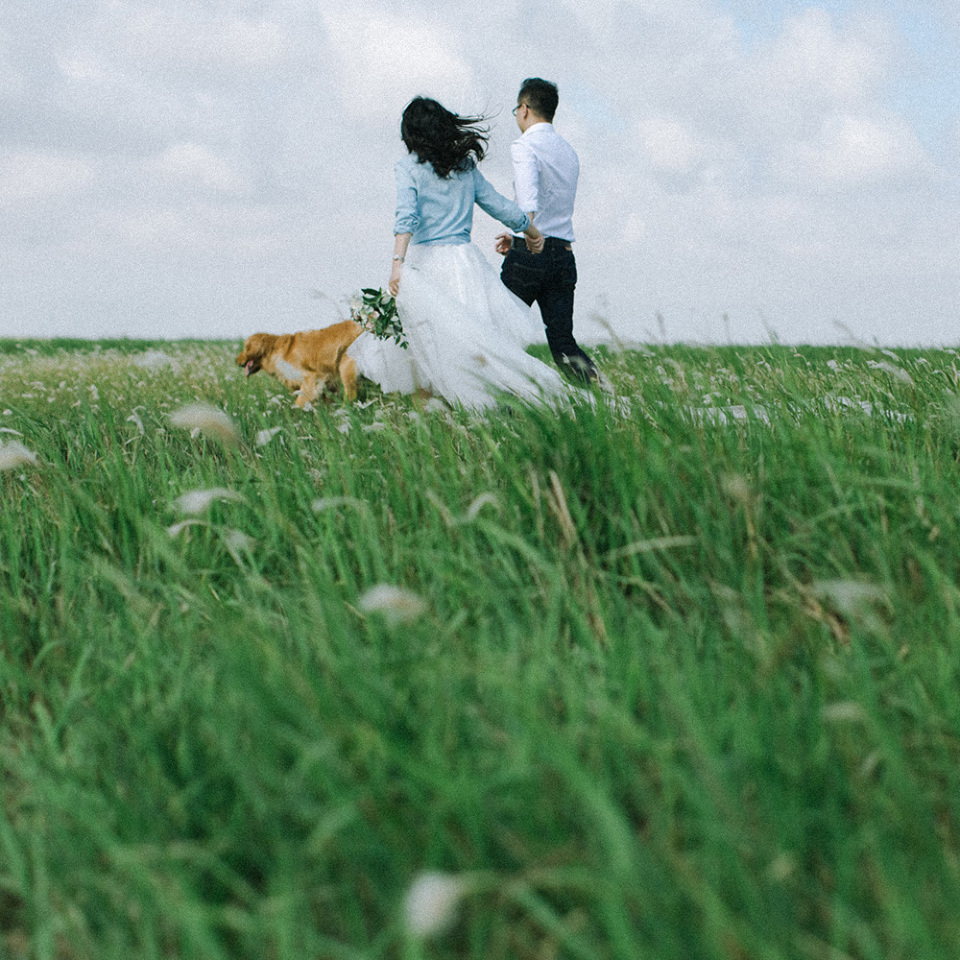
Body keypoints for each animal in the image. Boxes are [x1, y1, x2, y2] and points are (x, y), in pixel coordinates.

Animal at [236, 320, 364, 406]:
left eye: (245, 347)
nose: (236, 361)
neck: (274, 351)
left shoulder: (311, 378)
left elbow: (299, 403)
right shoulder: (328, 385)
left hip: (346, 369)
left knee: (350, 396)